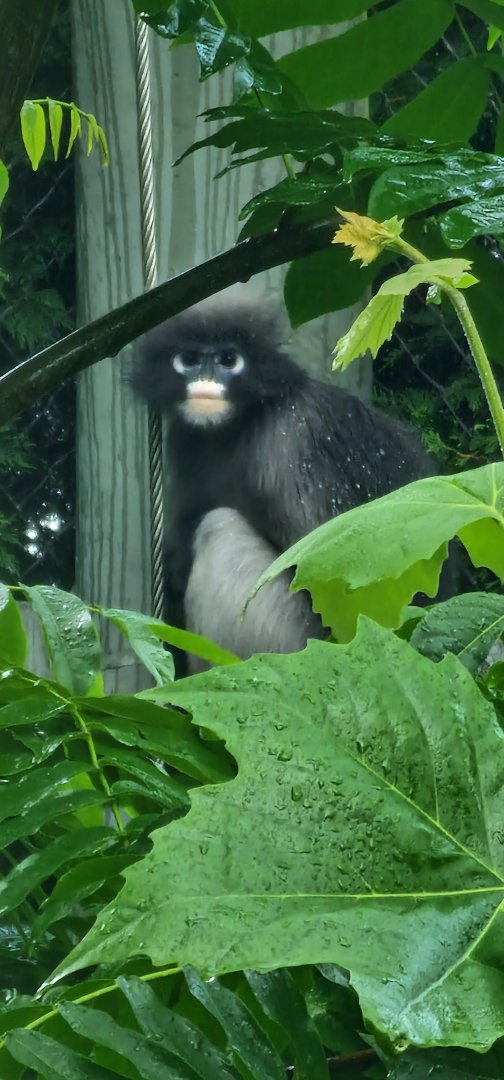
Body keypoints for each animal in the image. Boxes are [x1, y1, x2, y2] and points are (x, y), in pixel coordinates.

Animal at [132, 292, 437, 674]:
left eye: (228, 359)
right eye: (189, 359)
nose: (206, 380)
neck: (245, 419)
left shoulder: (293, 442)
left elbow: (343, 595)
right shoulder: (186, 440)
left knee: (221, 528)